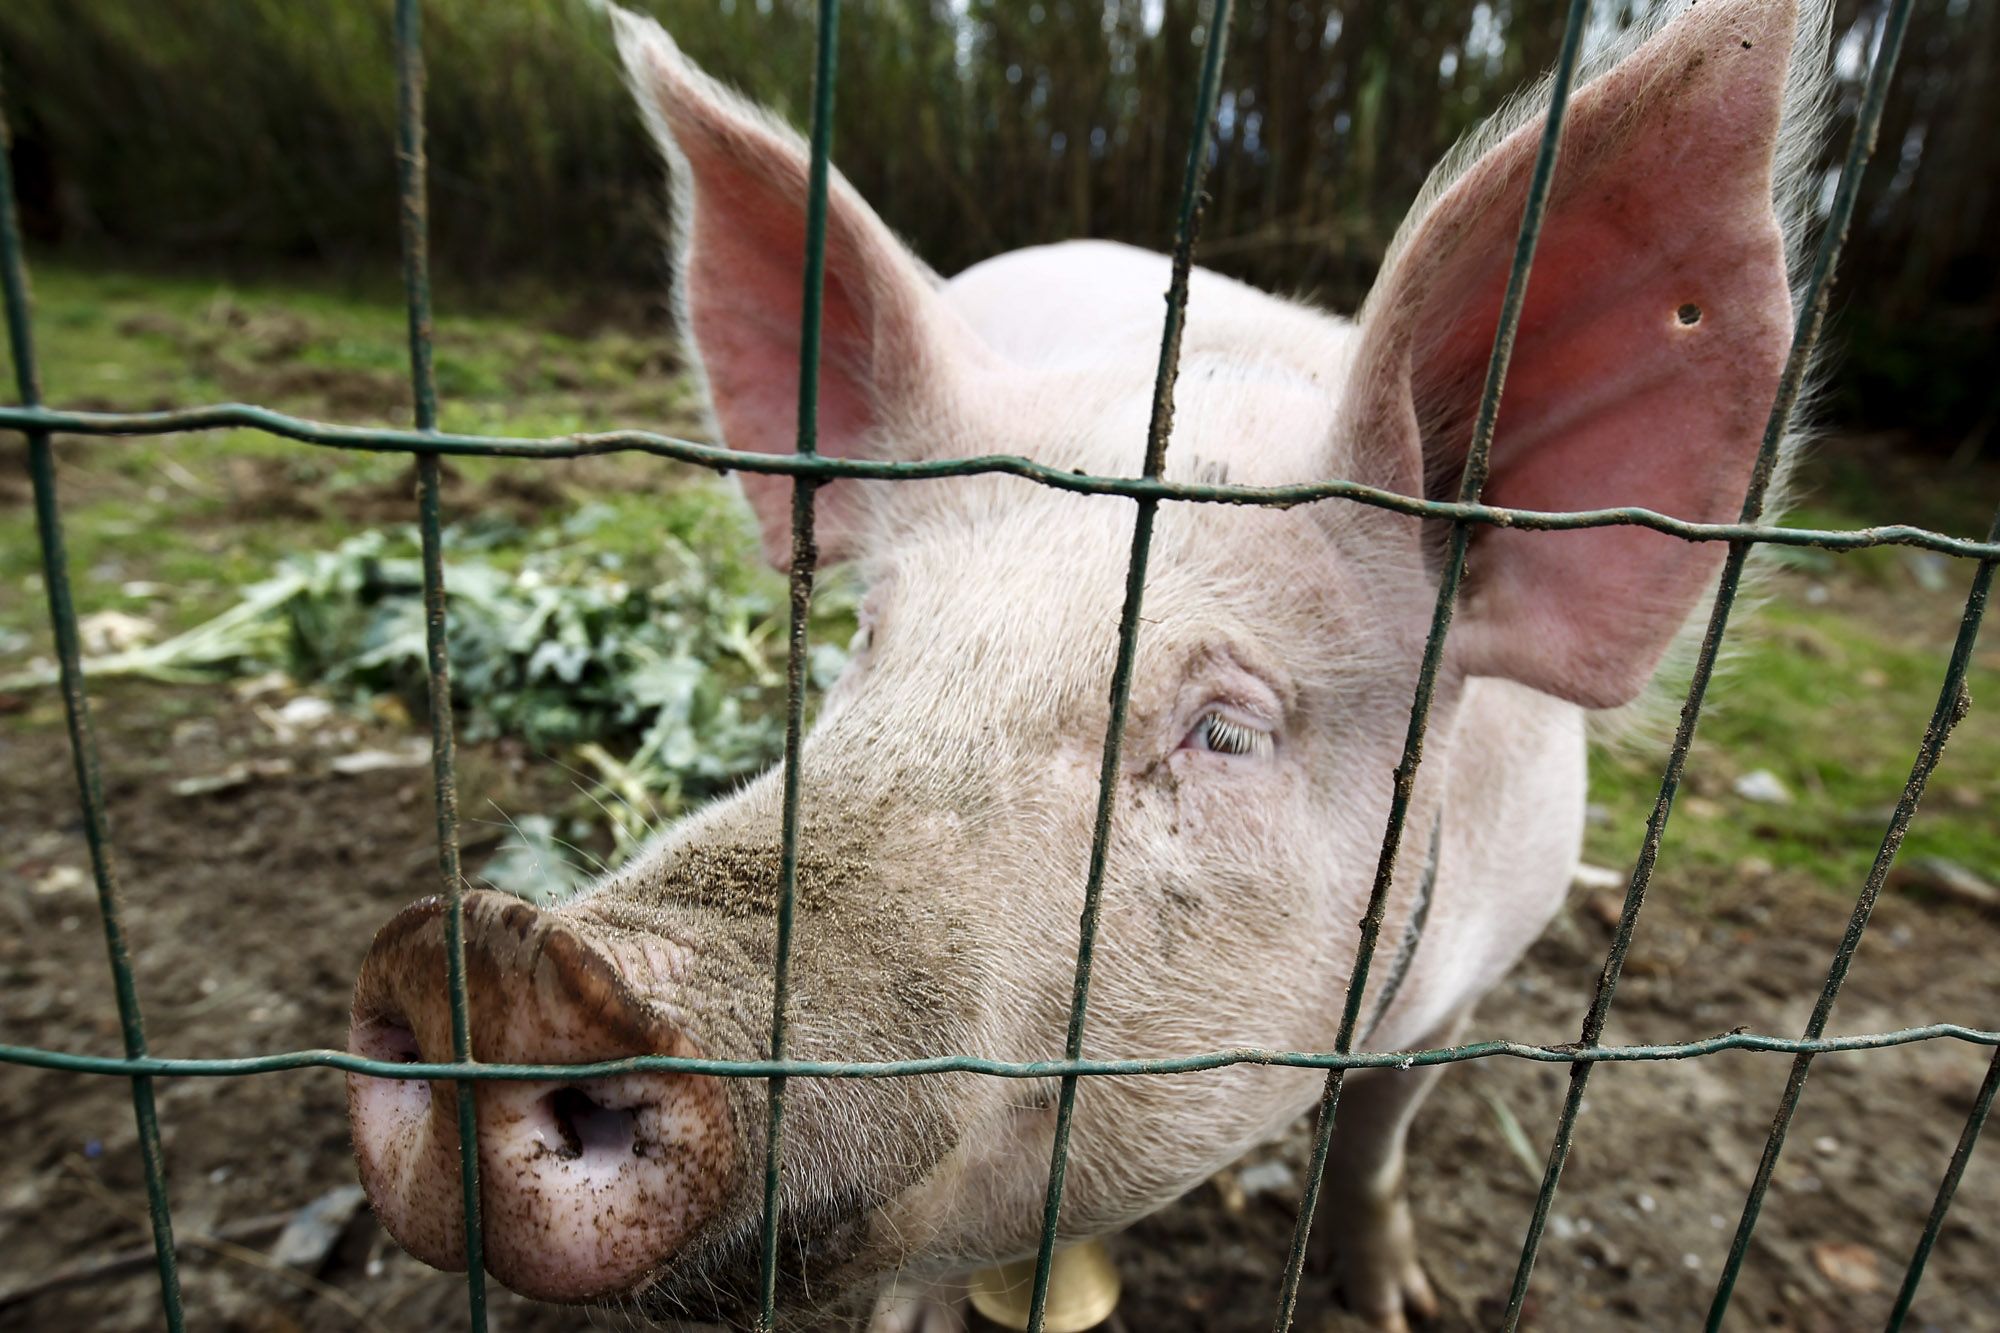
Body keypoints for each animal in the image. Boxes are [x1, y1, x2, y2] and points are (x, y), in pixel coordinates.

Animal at [346, 1, 1830, 1328]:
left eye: (1227, 730)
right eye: (867, 641)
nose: (502, 958)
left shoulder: (1478, 976)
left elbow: (1377, 1143)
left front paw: (1403, 1305)